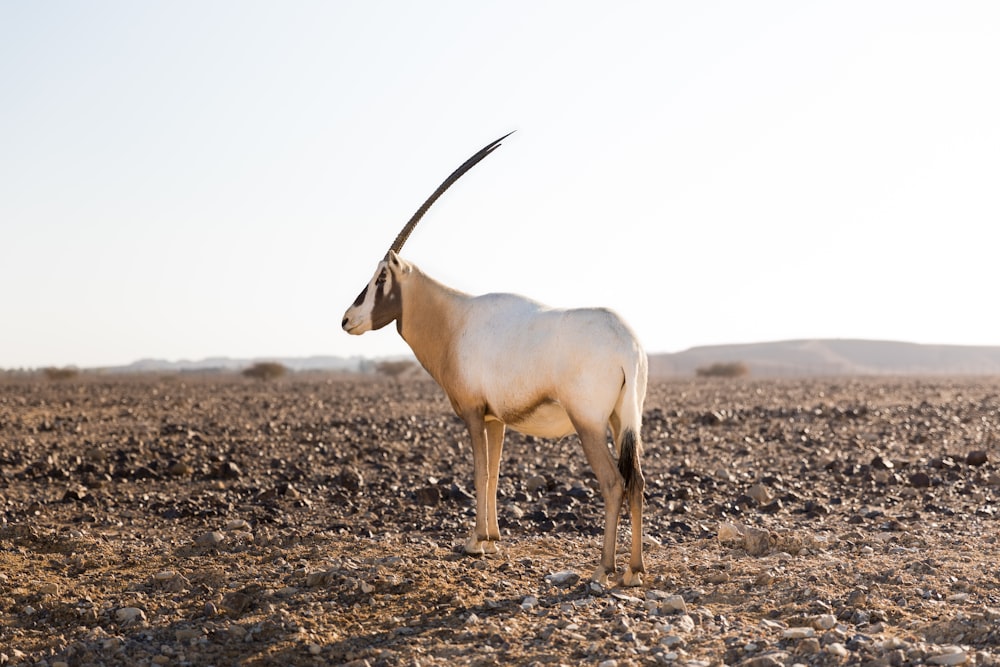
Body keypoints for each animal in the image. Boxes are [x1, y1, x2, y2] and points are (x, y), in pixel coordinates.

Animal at [340, 132, 648, 584]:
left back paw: (602, 569)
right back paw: (634, 570)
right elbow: (495, 470)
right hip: (622, 419)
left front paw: (475, 542)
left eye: (380, 277)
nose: (347, 319)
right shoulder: (496, 418)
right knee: (637, 480)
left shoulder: (472, 412)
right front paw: (492, 538)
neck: (454, 319)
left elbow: (479, 469)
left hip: (588, 422)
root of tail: (627, 343)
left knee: (613, 482)